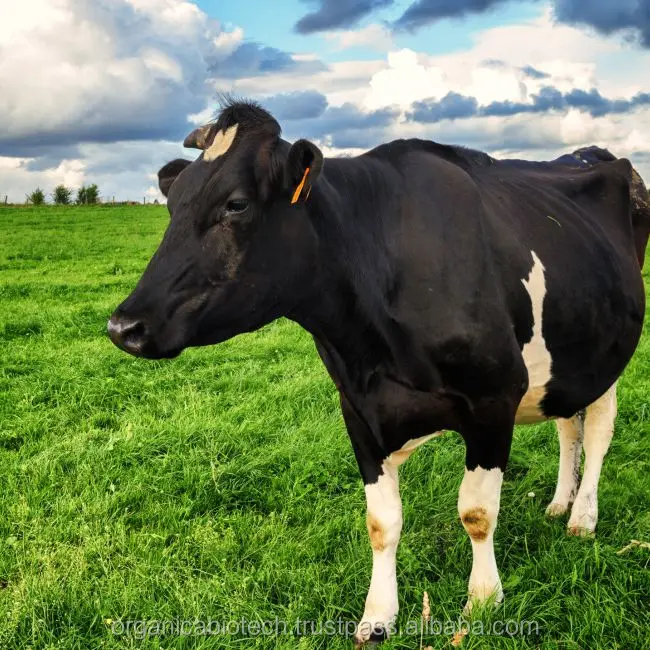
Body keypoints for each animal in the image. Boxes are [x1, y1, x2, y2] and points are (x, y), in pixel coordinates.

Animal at [107, 100, 648, 644]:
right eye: (173, 204)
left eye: (235, 204)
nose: (122, 326)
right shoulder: (359, 408)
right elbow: (381, 522)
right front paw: (378, 616)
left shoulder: (495, 398)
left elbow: (476, 512)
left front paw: (481, 603)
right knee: (567, 426)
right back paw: (560, 502)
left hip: (606, 354)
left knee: (597, 431)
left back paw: (583, 516)